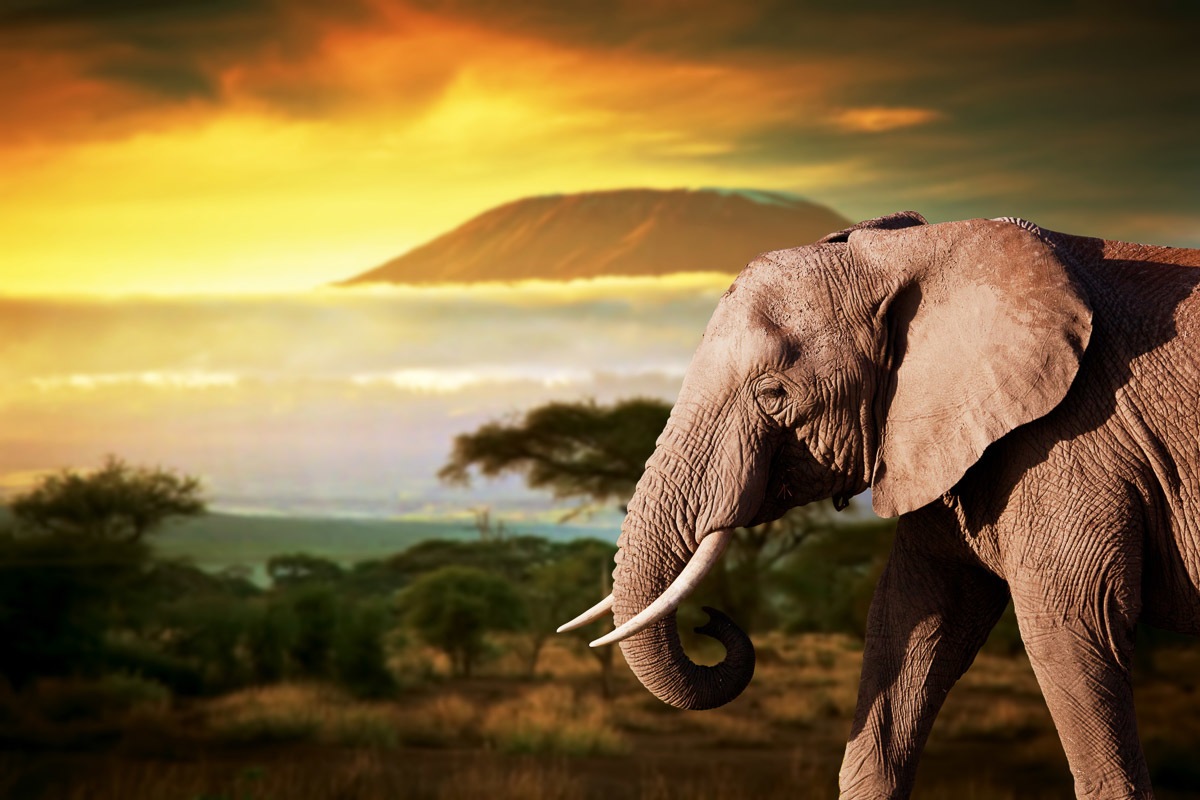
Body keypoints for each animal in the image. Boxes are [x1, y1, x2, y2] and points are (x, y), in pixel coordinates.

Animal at [558, 212, 1200, 799]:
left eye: (773, 394)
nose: (708, 622)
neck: (911, 253)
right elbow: (913, 619)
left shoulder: (1075, 437)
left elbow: (1070, 623)